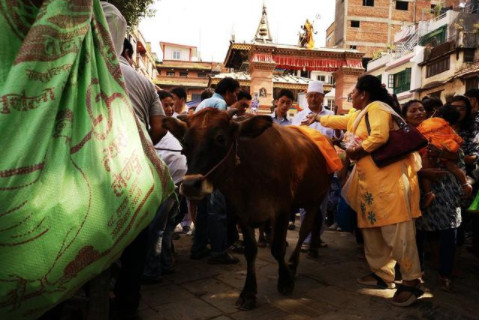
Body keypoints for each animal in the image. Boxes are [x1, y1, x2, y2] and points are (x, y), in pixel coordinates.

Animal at [163, 108, 332, 310]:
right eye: (185, 142)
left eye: (220, 138)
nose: (189, 185)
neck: (250, 175)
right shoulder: (242, 213)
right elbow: (250, 251)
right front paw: (249, 293)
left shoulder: (282, 209)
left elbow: (277, 248)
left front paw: (285, 280)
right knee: (317, 222)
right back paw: (313, 248)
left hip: (316, 198)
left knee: (304, 230)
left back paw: (293, 263)